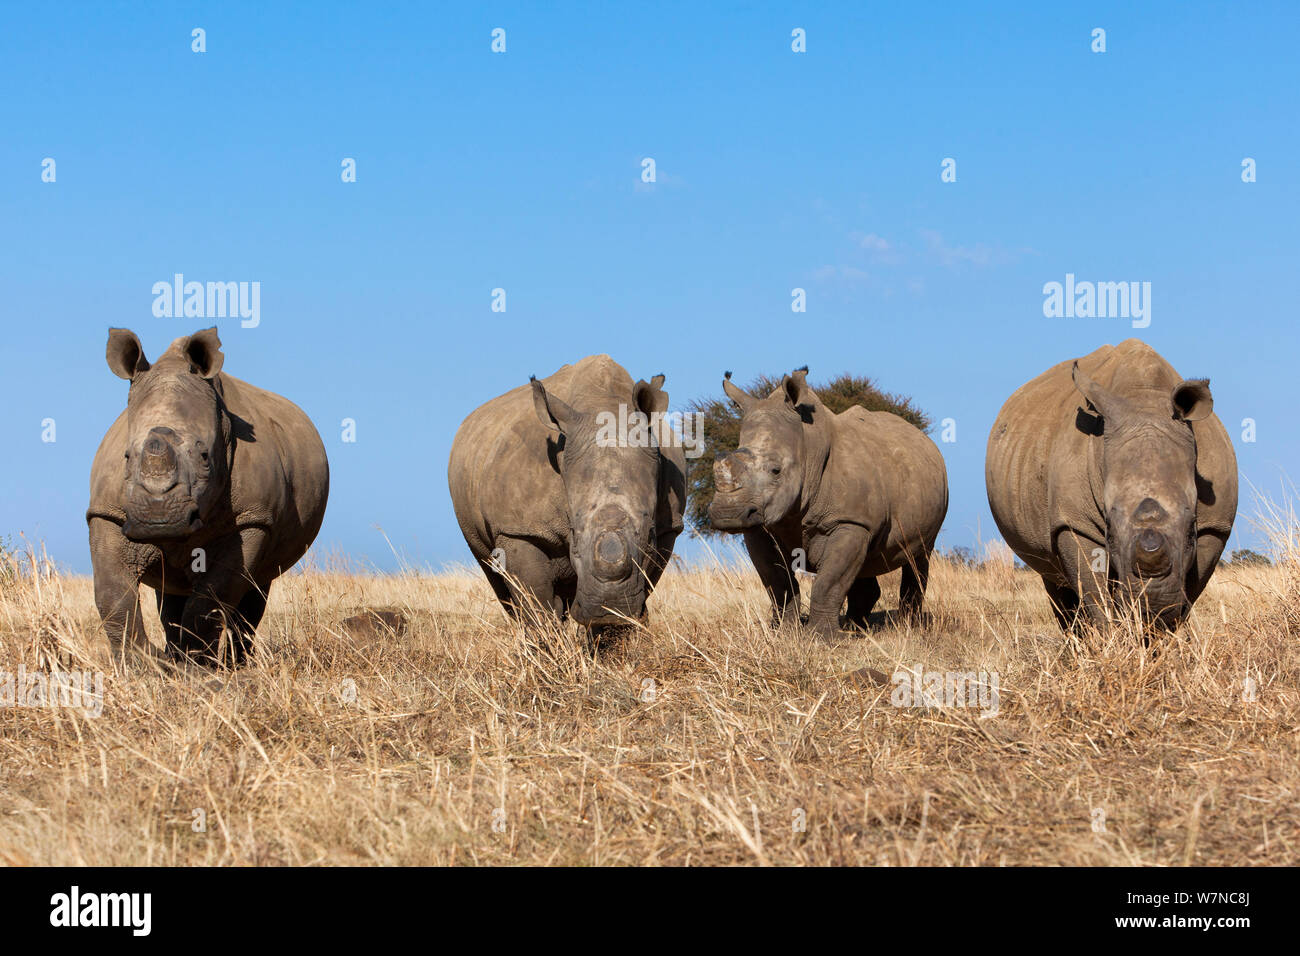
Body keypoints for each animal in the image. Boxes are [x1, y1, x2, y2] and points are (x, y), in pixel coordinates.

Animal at [86, 329, 330, 665]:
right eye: (126, 456)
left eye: (204, 457)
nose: (159, 519)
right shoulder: (107, 512)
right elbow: (112, 593)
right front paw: (143, 665)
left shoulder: (252, 519)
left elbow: (213, 597)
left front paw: (196, 666)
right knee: (171, 590)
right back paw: (175, 657)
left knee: (255, 589)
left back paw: (235, 664)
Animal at [449, 356, 686, 634]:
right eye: (573, 531)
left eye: (650, 534)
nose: (609, 609)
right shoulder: (518, 529)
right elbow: (536, 604)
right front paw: (547, 643)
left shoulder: (669, 527)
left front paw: (612, 633)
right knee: (496, 576)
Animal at [712, 369, 946, 639]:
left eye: (776, 470)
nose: (727, 514)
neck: (807, 448)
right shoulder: (759, 525)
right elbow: (778, 582)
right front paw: (784, 633)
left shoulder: (849, 521)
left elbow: (828, 582)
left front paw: (820, 638)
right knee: (864, 566)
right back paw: (856, 629)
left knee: (919, 556)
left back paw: (908, 628)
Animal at [982, 340, 1237, 632]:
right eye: (1109, 533)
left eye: (1191, 532)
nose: (1152, 605)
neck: (1145, 400)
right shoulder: (1074, 521)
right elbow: (1095, 593)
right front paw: (1112, 637)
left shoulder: (1215, 525)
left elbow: (1191, 592)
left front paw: (1160, 635)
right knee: (1054, 578)